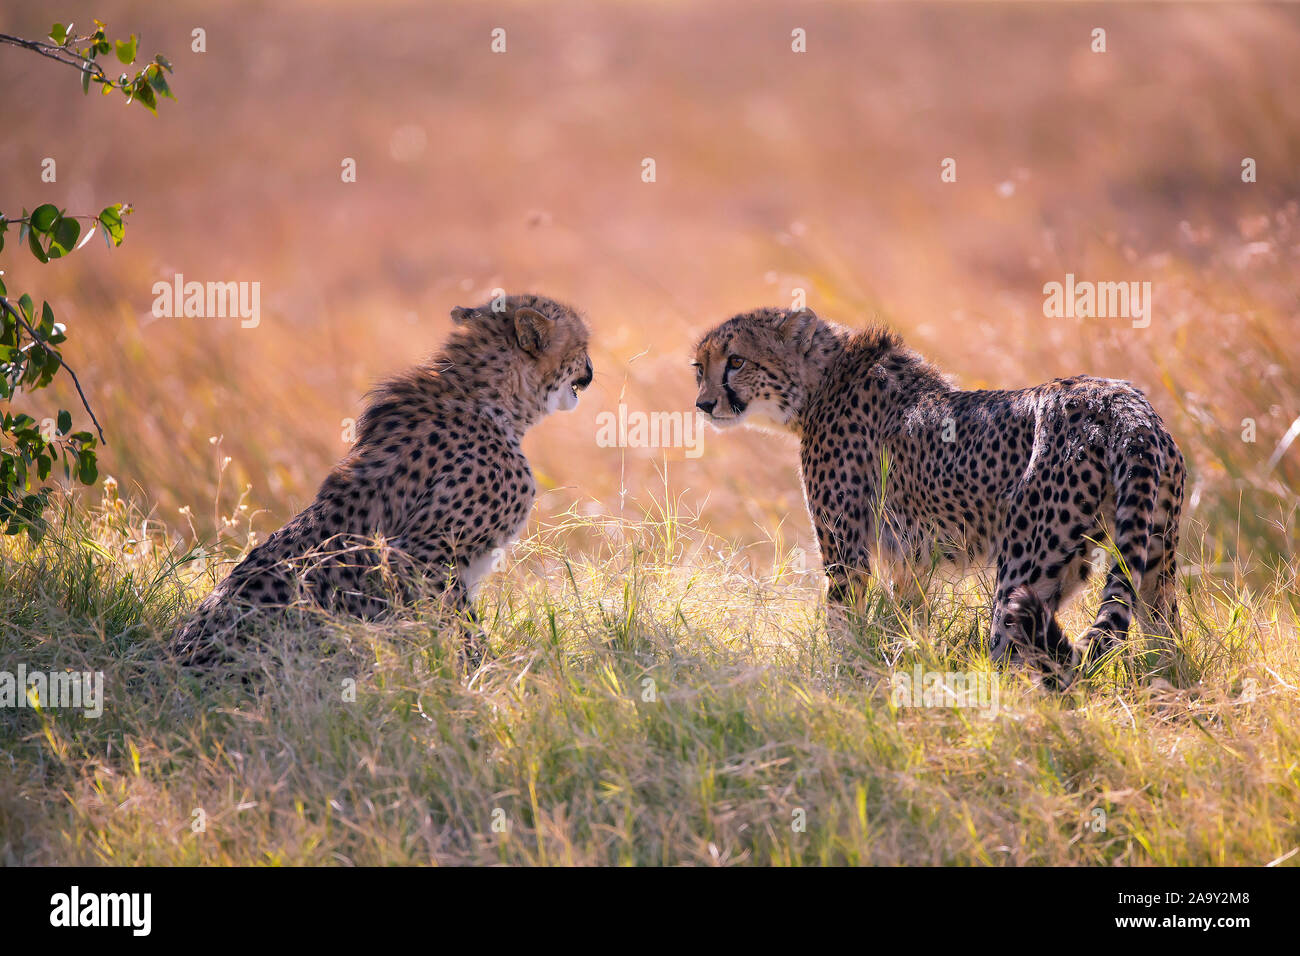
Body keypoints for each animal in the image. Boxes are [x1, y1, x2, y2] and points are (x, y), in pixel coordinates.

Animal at [172, 293, 595, 665]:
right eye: (583, 346)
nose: (591, 371)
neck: (490, 400)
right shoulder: (420, 555)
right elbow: (462, 629)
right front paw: (489, 676)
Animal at [696, 308, 1185, 681]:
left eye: (736, 361)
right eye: (700, 368)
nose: (702, 404)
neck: (822, 382)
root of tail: (1121, 402)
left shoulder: (847, 554)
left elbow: (843, 622)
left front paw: (839, 678)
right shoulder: (910, 558)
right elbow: (903, 618)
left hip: (1024, 570)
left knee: (1014, 662)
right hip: (1154, 555)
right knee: (1166, 636)